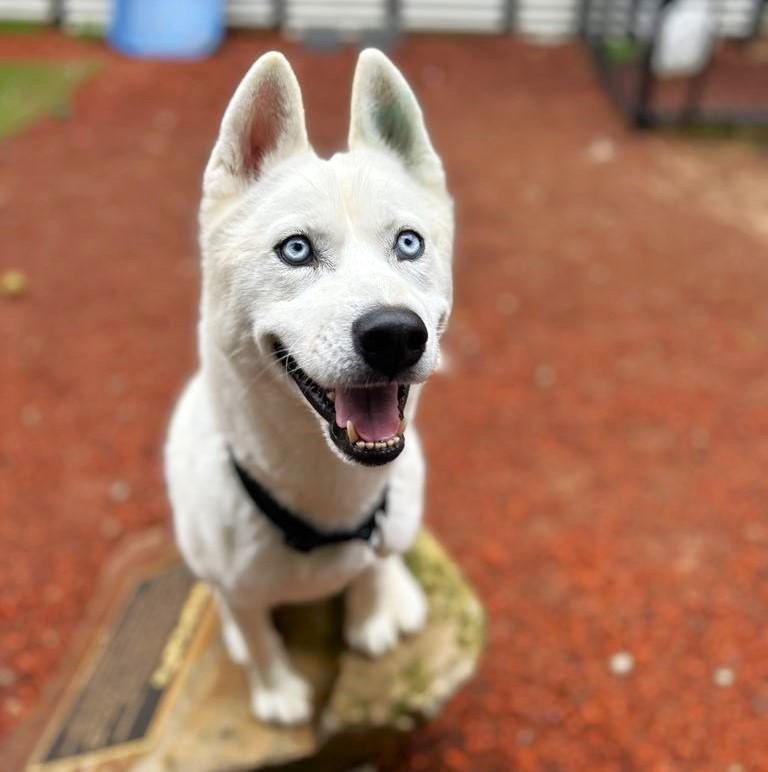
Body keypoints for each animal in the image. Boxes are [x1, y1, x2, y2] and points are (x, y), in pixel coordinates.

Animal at [165, 48, 452, 724]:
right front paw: (277, 693)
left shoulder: (379, 535)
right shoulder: (238, 587)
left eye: (409, 243)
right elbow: (260, 637)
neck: (330, 503)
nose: (395, 335)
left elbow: (370, 575)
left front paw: (373, 618)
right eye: (295, 250)